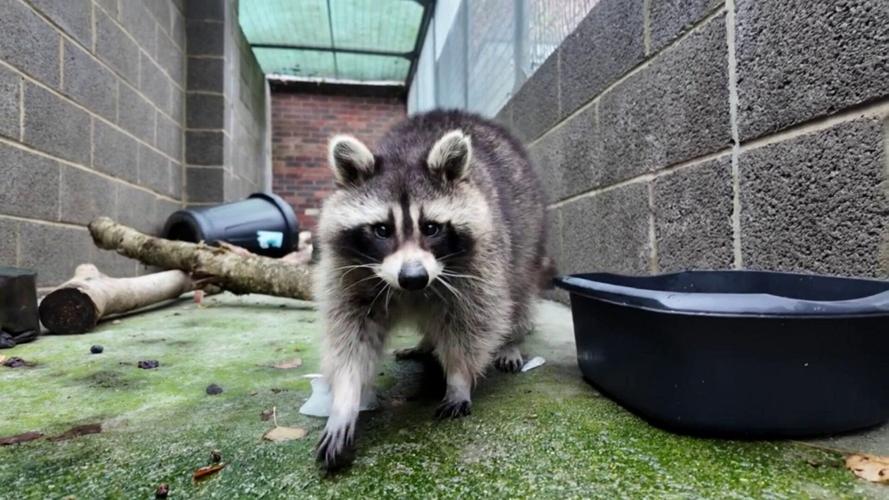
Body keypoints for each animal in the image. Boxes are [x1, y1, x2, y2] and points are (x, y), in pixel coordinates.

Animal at [314, 109, 552, 469]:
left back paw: (512, 340)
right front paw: (345, 397)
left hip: (527, 230)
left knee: (518, 293)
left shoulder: (480, 264)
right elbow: (351, 335)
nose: (413, 277)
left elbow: (474, 323)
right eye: (382, 230)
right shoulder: (347, 270)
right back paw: (426, 342)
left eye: (431, 228)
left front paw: (458, 378)